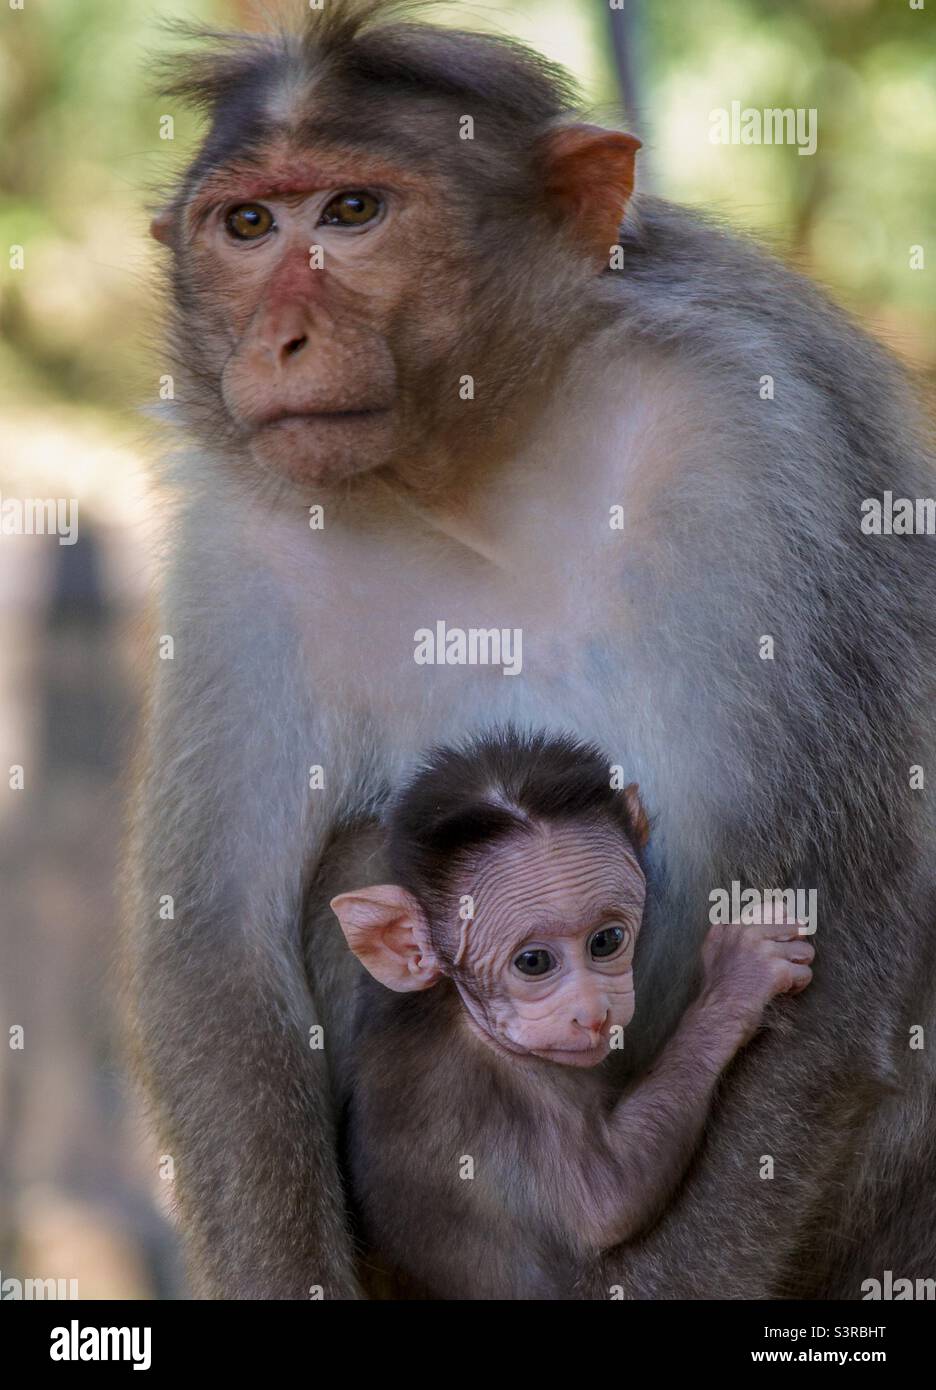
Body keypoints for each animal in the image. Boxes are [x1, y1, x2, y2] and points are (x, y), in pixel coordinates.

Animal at [332, 728, 812, 1301]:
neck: (457, 1006)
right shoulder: (513, 1091)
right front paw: (737, 977)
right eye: (533, 962)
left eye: (606, 940)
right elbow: (608, 1200)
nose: (591, 1013)